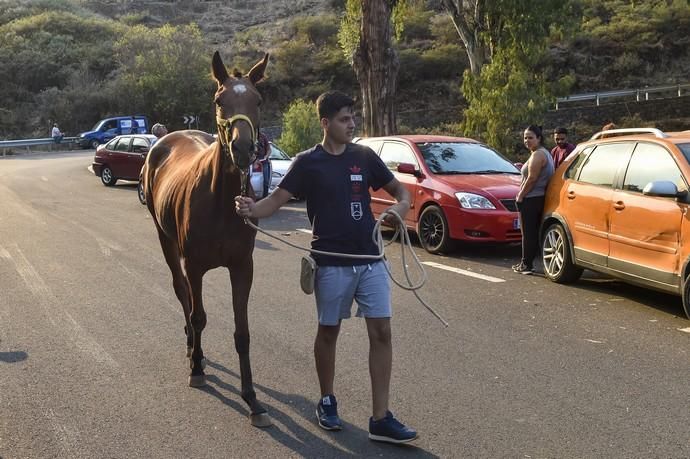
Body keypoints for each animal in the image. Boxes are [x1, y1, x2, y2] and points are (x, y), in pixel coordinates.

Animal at [140, 51, 268, 428]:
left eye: (257, 100)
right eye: (219, 100)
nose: (243, 148)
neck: (221, 202)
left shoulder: (242, 268)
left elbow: (243, 333)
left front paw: (251, 397)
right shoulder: (194, 265)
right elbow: (198, 315)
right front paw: (196, 367)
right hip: (165, 240)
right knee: (181, 291)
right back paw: (190, 347)